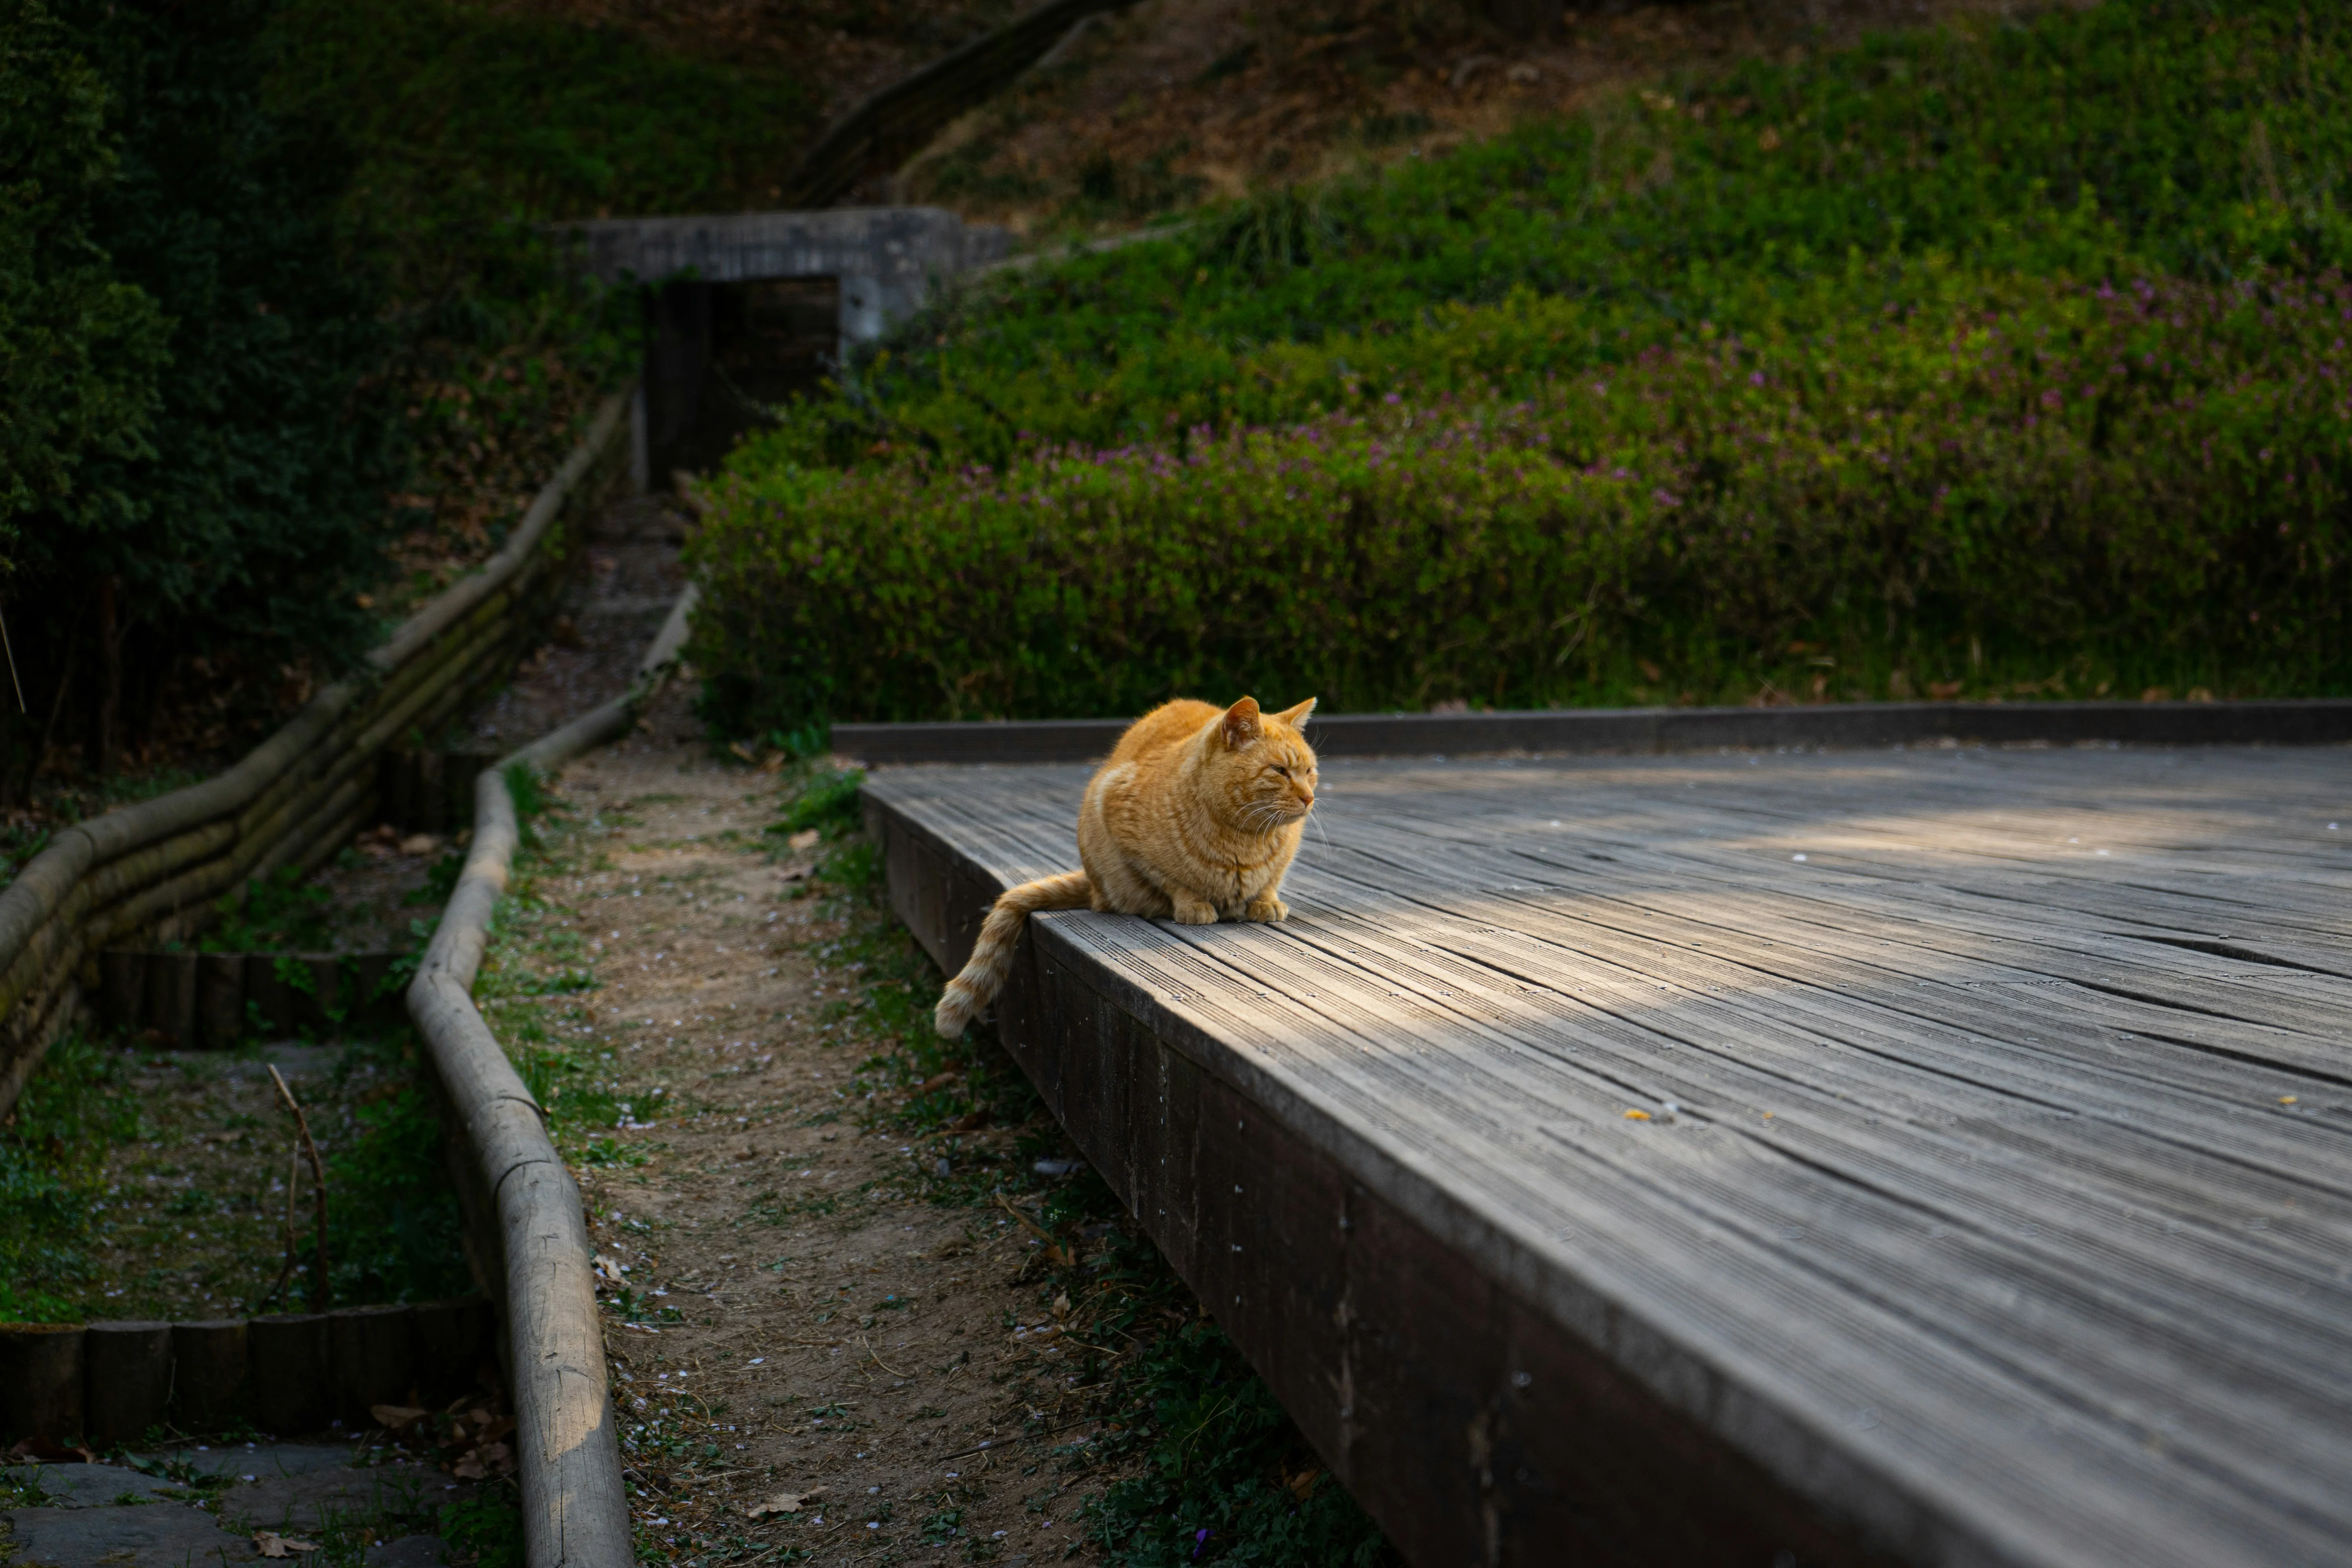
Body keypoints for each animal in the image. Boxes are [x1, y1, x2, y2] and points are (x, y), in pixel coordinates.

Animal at [927, 691, 1317, 1034]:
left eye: (1310, 771)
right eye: (1280, 771)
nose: (1310, 798)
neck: (1244, 839)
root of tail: (1093, 887)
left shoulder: (1285, 855)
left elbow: (1271, 879)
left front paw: (1266, 902)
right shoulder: (1117, 815)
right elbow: (1175, 882)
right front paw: (1193, 905)